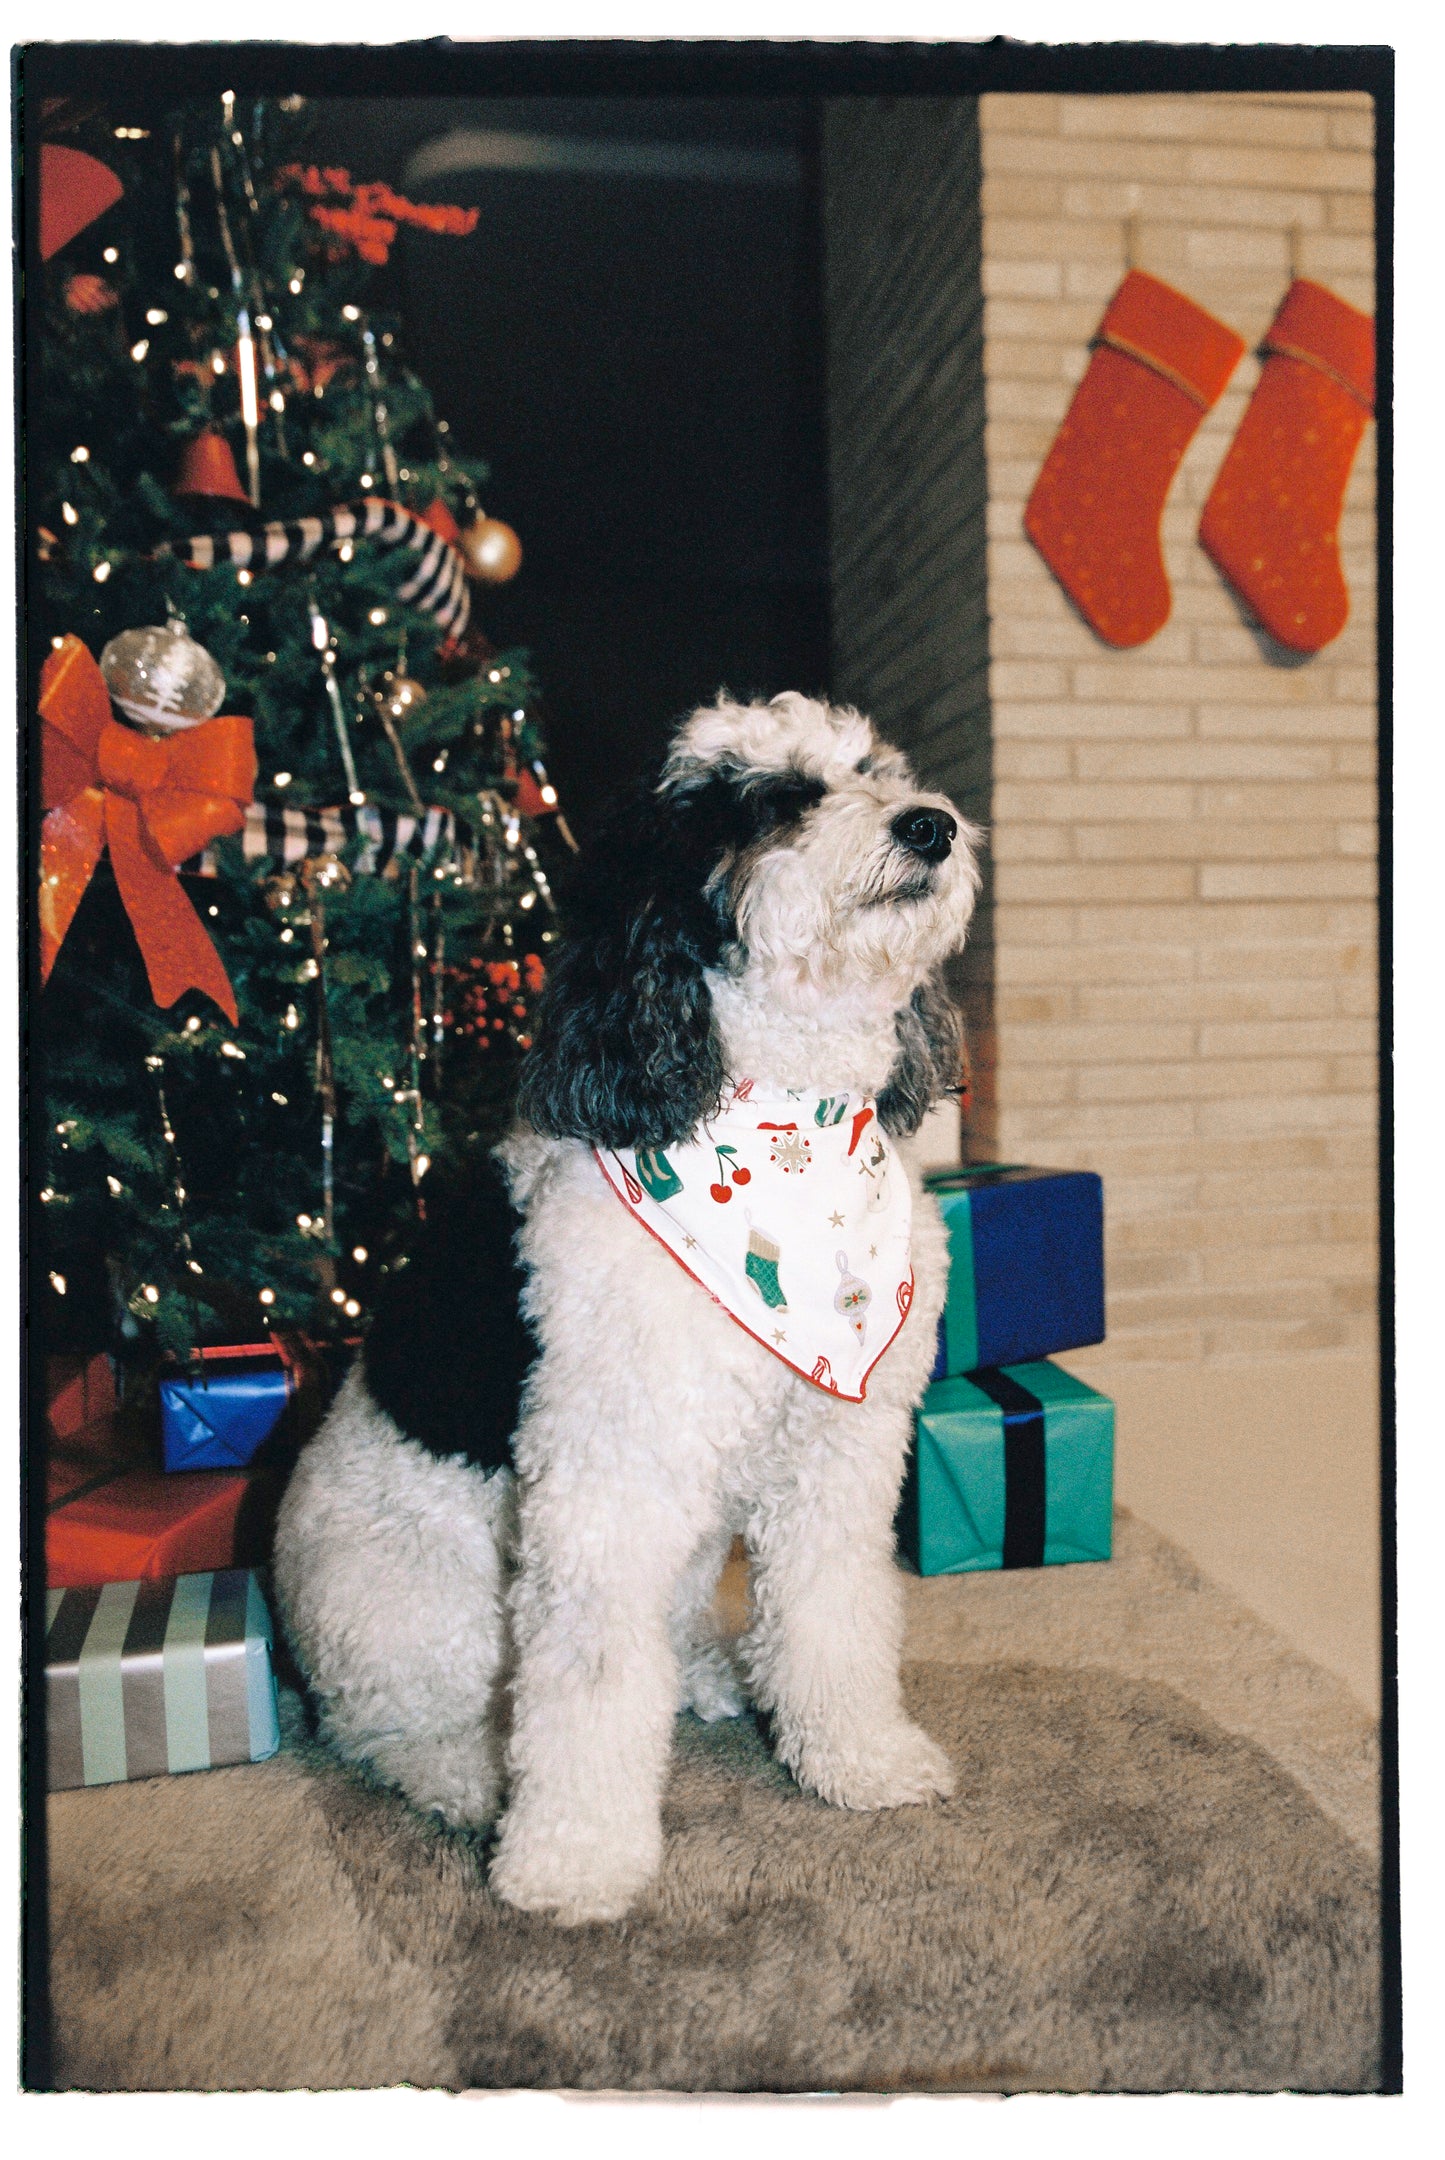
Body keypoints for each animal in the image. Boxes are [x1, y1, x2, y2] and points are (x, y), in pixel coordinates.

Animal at [273, 691, 980, 1926]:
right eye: (773, 800)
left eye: (875, 771)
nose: (931, 825)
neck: (786, 1121)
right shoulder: (605, 1477)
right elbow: (589, 1682)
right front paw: (574, 1861)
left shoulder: (838, 1454)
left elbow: (834, 1617)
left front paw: (857, 1759)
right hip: (404, 1607)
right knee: (389, 1735)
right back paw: (476, 1781)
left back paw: (706, 1675)